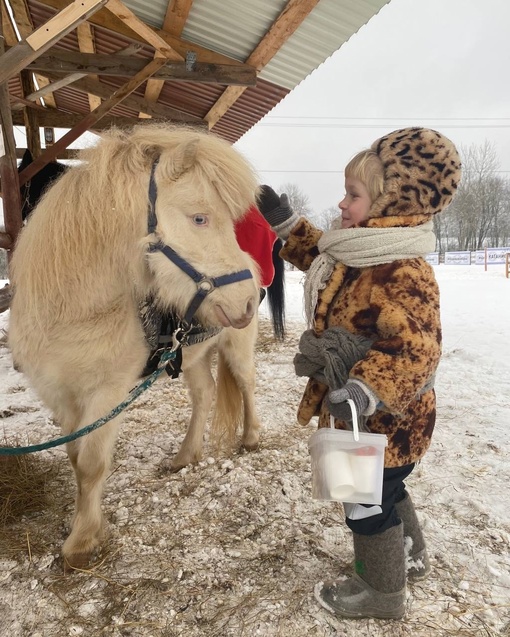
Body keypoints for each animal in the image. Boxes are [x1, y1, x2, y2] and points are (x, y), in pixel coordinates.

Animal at [7, 123, 262, 568]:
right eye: (199, 217)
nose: (248, 300)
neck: (73, 312)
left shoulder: (107, 394)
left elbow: (91, 463)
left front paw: (82, 543)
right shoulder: (60, 396)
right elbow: (74, 456)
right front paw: (84, 526)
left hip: (237, 347)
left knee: (245, 385)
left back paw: (250, 438)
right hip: (191, 357)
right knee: (204, 394)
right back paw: (185, 457)